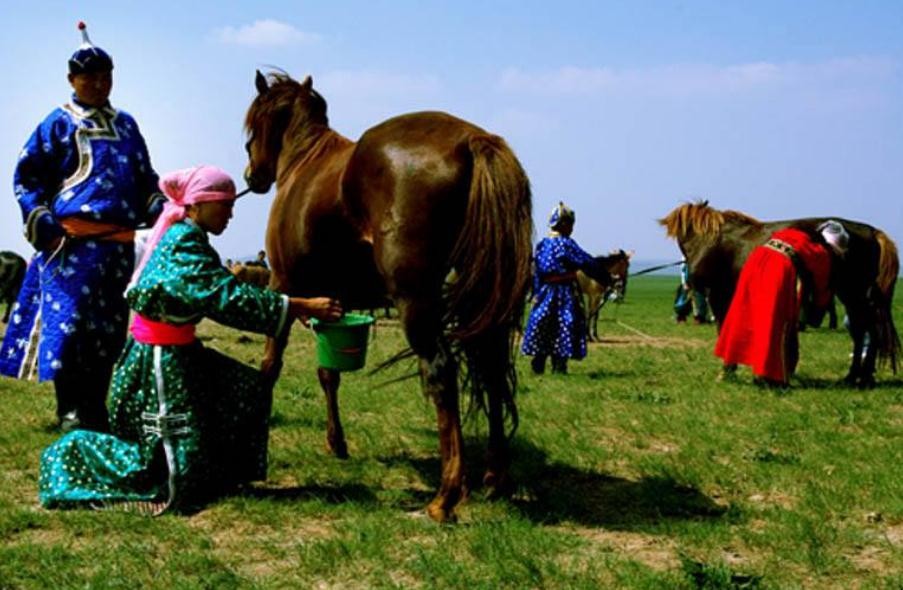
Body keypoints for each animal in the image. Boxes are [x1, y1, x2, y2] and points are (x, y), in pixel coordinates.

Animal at [244, 70, 532, 524]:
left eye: (254, 124)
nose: (251, 174)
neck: (303, 161)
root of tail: (473, 139)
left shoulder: (282, 287)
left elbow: (270, 365)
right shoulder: (333, 303)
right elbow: (329, 373)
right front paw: (336, 442)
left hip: (415, 300)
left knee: (442, 373)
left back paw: (445, 497)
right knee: (490, 368)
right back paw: (495, 478)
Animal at [660, 201, 900, 390]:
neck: (711, 240)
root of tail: (872, 231)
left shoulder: (718, 294)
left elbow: (723, 327)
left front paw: (727, 369)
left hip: (854, 294)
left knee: (868, 331)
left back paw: (863, 377)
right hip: (850, 295)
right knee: (862, 332)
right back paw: (854, 376)